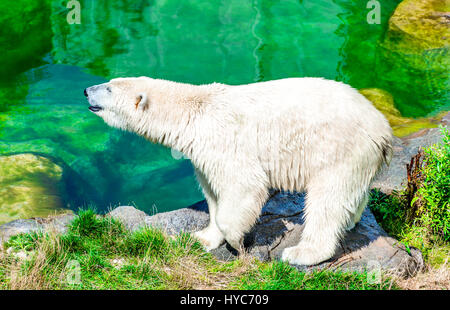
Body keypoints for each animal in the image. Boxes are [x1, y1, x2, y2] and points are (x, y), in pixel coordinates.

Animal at [83, 77, 390, 266]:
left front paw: (236, 241)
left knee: (327, 199)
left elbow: (244, 185)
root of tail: (383, 129)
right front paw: (203, 237)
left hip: (339, 148)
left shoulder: (224, 140)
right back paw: (350, 221)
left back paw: (303, 252)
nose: (86, 90)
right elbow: (213, 194)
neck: (195, 111)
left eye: (109, 89)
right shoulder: (202, 154)